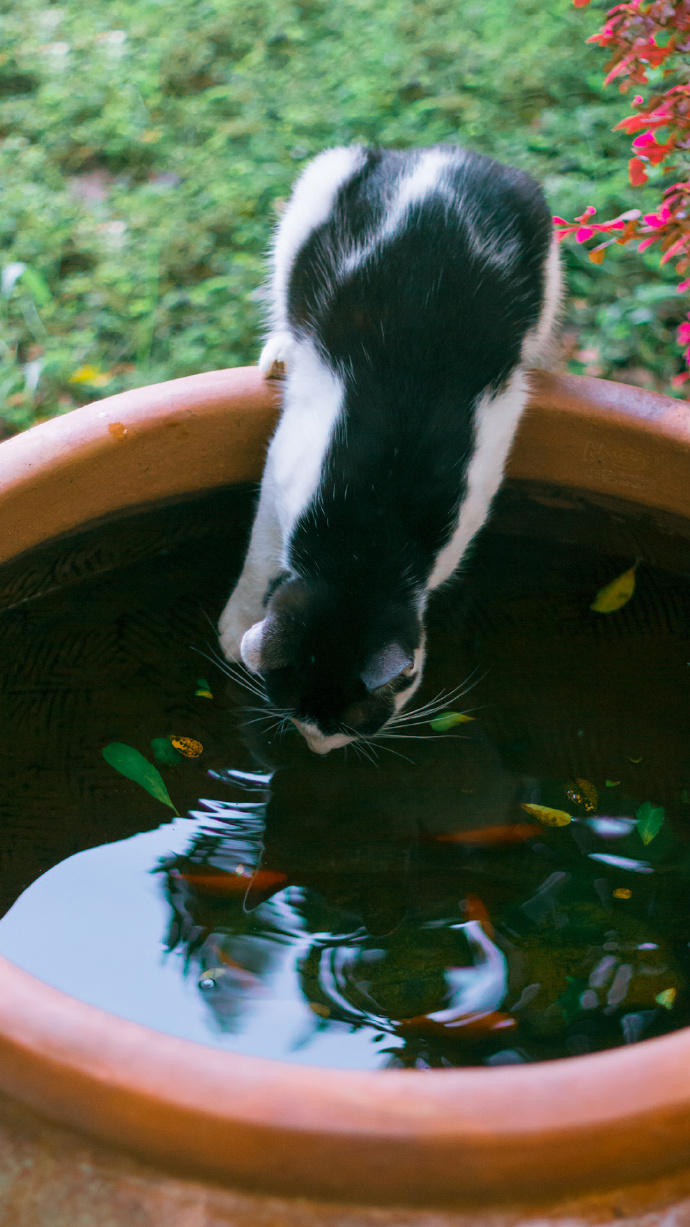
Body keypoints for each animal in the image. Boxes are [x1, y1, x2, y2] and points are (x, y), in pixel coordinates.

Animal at [219, 143, 559, 755]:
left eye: (352, 722)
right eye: (296, 712)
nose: (318, 749)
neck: (366, 536)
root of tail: (443, 152)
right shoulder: (284, 465)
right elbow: (260, 552)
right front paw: (237, 627)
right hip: (317, 189)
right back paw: (280, 346)